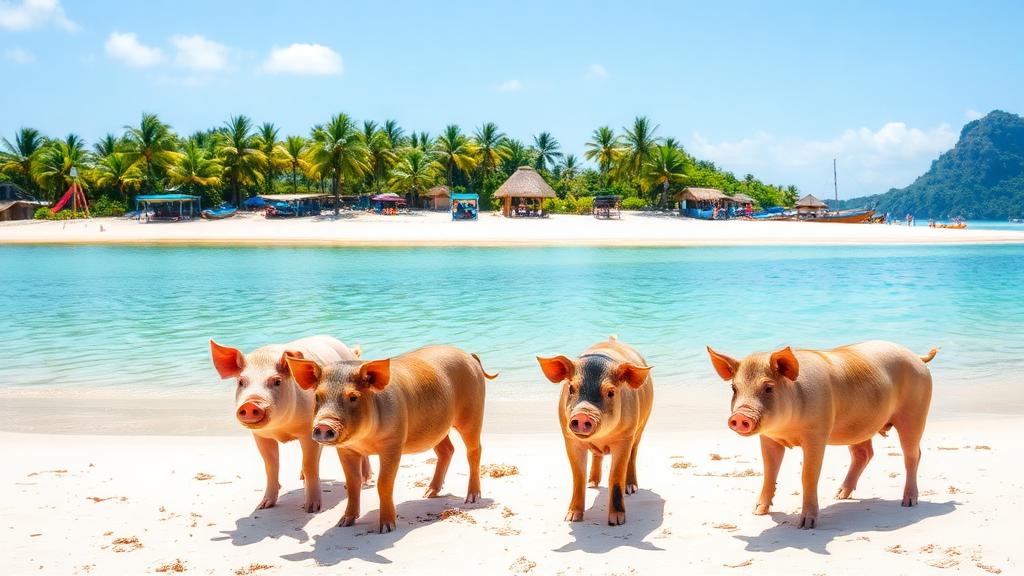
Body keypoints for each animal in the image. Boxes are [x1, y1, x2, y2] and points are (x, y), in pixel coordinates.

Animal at [209, 336, 372, 513]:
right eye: (241, 382)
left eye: (277, 381)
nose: (251, 403)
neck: (281, 428)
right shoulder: (260, 436)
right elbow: (270, 465)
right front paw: (264, 505)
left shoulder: (308, 431)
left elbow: (309, 465)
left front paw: (311, 508)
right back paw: (301, 478)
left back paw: (365, 480)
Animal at [285, 345, 497, 533]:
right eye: (317, 396)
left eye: (353, 397)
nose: (323, 425)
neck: (365, 440)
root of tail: (468, 355)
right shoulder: (346, 449)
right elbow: (352, 483)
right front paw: (344, 523)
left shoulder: (394, 443)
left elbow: (383, 483)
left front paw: (386, 528)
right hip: (437, 428)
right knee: (447, 450)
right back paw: (428, 493)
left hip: (473, 412)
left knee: (474, 451)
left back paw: (472, 498)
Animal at [537, 335, 653, 526]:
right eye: (571, 388)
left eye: (611, 392)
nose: (583, 414)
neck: (601, 438)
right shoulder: (570, 439)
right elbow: (578, 475)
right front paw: (571, 518)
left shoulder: (624, 438)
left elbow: (615, 476)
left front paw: (617, 521)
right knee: (597, 456)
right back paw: (592, 483)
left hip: (641, 425)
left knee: (633, 454)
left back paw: (631, 488)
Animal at [706, 340, 936, 529]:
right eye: (734, 389)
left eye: (768, 388)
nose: (739, 416)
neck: (787, 429)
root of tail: (918, 357)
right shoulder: (769, 438)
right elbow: (770, 471)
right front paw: (758, 511)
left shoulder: (817, 434)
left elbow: (808, 475)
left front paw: (805, 525)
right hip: (859, 426)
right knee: (864, 453)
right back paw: (840, 495)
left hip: (915, 412)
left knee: (912, 454)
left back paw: (908, 502)